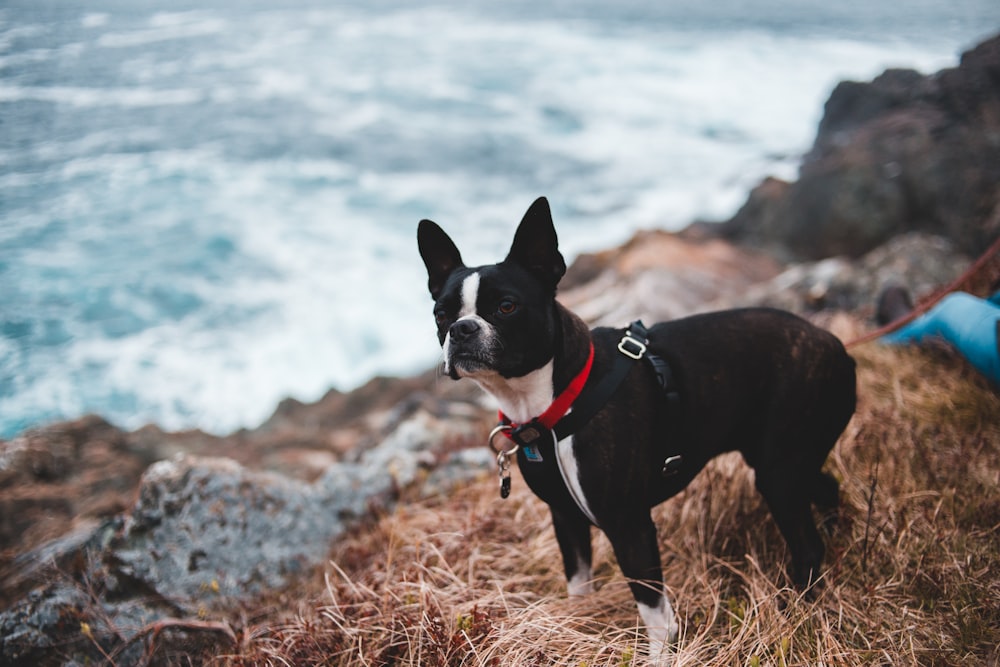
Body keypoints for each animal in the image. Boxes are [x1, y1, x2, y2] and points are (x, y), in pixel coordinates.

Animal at [418, 198, 856, 664]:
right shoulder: (565, 520)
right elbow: (579, 584)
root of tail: (834, 343)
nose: (462, 329)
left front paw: (661, 655)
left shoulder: (629, 526)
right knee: (825, 485)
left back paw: (796, 607)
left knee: (806, 544)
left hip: (778, 471)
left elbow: (653, 609)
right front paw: (575, 628)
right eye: (441, 314)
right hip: (784, 458)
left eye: (506, 307)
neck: (548, 406)